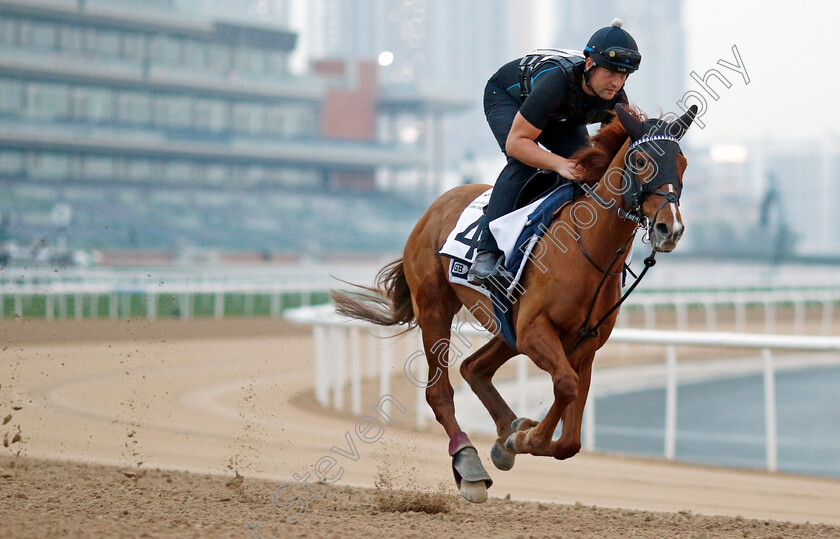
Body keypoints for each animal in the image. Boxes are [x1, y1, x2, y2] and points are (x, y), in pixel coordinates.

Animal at [332, 103, 700, 504]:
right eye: (640, 160)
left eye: (681, 162)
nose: (670, 229)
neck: (588, 248)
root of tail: (435, 206)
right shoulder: (534, 330)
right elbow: (566, 385)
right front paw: (525, 439)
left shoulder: (584, 343)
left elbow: (571, 434)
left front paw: (518, 437)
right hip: (435, 308)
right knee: (438, 391)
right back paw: (470, 464)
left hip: (506, 326)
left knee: (473, 368)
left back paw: (506, 429)